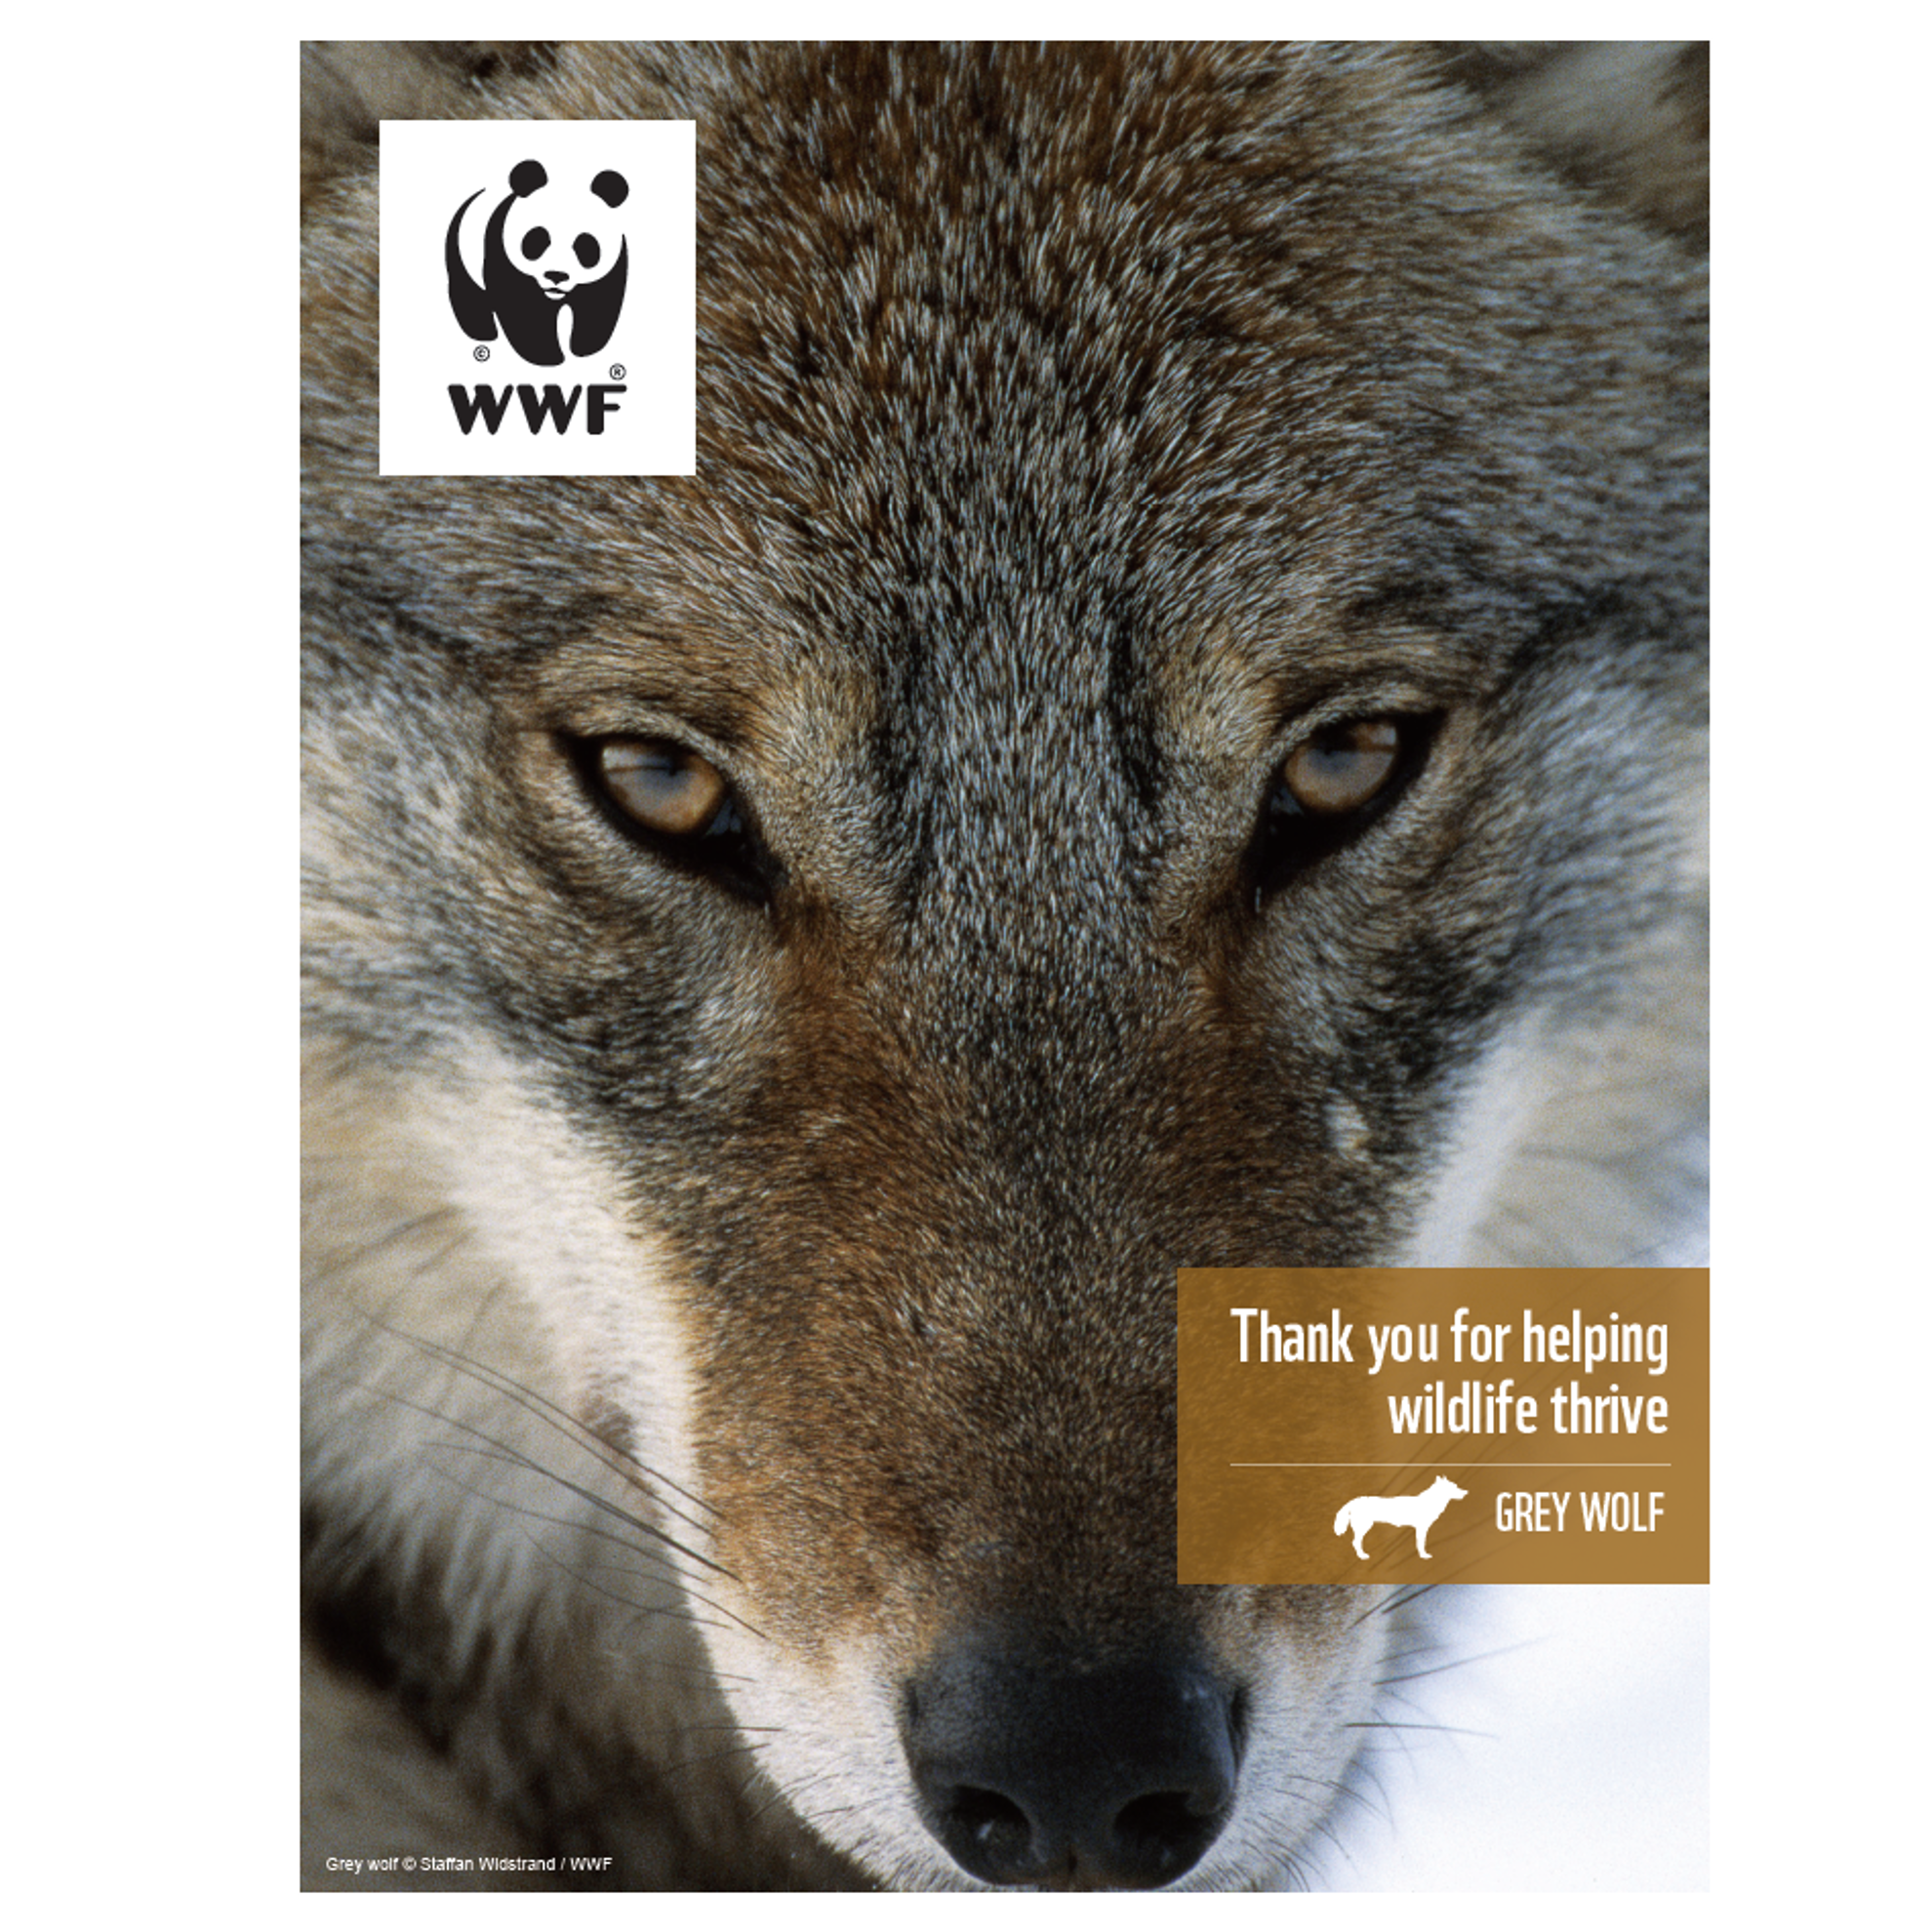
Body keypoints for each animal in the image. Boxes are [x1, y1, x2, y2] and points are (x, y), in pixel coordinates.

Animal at [1335, 1476, 1470, 1561]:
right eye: (1454, 1487)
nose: (1466, 1492)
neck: (1429, 1502)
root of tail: (1353, 1501)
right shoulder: (1421, 1528)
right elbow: (1421, 1543)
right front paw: (1423, 1556)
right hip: (1364, 1527)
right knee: (1355, 1542)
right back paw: (1362, 1556)